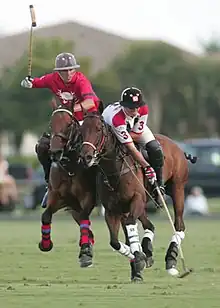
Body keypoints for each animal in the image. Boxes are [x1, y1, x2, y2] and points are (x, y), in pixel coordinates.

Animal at [38, 104, 96, 268]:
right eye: (51, 124)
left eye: (69, 124)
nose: (55, 152)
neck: (70, 166)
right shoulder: (60, 198)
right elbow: (46, 215)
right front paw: (45, 244)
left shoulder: (87, 198)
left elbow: (85, 218)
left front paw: (85, 254)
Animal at [78, 112, 194, 282]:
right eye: (81, 131)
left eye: (98, 129)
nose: (85, 157)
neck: (115, 169)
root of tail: (178, 146)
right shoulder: (113, 210)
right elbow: (115, 241)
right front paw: (138, 258)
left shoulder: (136, 199)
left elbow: (129, 226)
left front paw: (138, 258)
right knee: (149, 225)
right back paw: (147, 251)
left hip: (178, 188)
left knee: (179, 225)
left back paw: (171, 261)